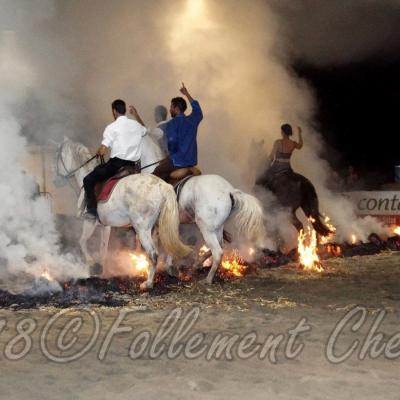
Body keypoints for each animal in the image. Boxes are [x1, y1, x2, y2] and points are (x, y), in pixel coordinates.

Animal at [53, 138, 191, 288]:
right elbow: (103, 248)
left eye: (58, 156)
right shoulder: (105, 226)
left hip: (142, 229)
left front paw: (92, 264)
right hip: (162, 226)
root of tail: (162, 186)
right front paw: (101, 270)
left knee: (153, 254)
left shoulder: (89, 221)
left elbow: (82, 241)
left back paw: (148, 283)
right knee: (169, 245)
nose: (57, 180)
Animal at [141, 133, 268, 282]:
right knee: (221, 245)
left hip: (205, 228)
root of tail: (229, 191)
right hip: (217, 227)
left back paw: (207, 278)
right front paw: (170, 267)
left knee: (218, 251)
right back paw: (198, 263)